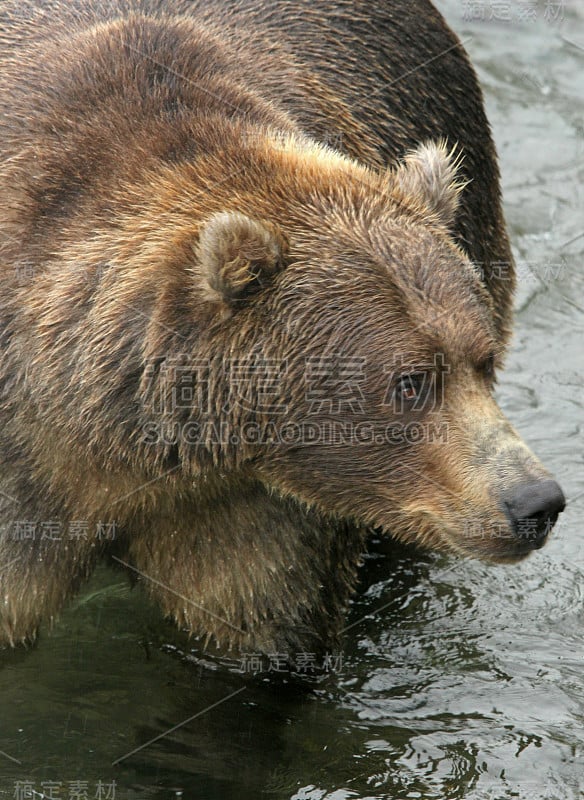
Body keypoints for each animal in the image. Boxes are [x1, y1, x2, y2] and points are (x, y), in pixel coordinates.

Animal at [0, 0, 564, 656]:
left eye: (482, 359)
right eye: (410, 381)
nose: (536, 501)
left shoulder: (259, 507)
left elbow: (261, 626)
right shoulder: (27, 468)